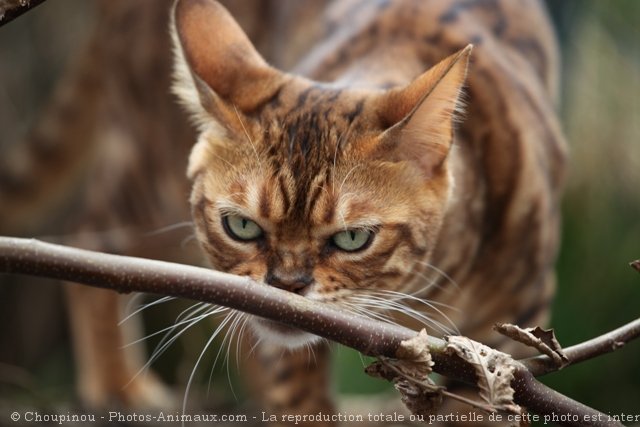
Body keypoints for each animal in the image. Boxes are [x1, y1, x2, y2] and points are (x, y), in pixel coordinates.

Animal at [0, 0, 564, 424]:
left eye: (353, 238)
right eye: (241, 226)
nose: (286, 285)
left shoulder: (518, 324)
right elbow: (297, 395)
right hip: (146, 166)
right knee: (91, 231)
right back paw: (117, 386)